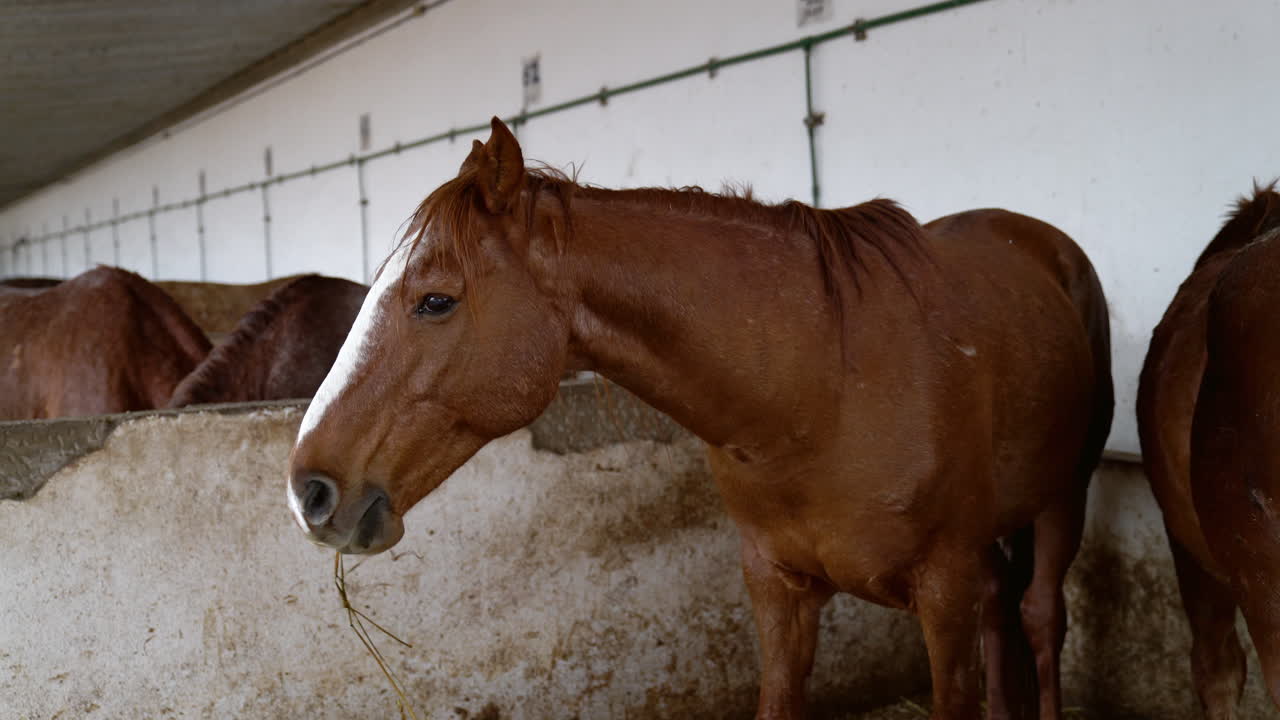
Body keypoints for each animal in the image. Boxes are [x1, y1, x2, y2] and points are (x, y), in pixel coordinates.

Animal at [286, 118, 1113, 720]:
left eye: (435, 300)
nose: (308, 491)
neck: (823, 388)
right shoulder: (776, 589)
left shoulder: (943, 591)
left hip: (1063, 498)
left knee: (1041, 616)